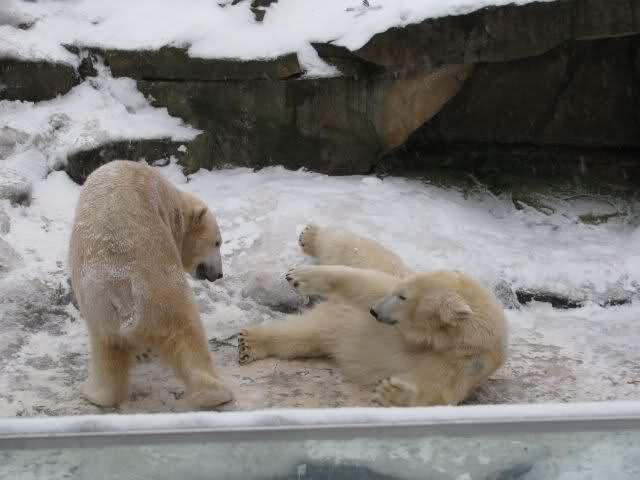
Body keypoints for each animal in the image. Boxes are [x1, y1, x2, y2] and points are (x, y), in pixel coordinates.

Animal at [69, 160, 233, 409]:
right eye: (217, 243)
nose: (219, 274)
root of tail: (122, 294)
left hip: (99, 311)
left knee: (106, 349)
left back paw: (95, 393)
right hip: (160, 291)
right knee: (188, 330)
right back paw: (214, 392)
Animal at [238, 225, 507, 407]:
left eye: (403, 297)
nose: (374, 311)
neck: (446, 343)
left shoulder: (464, 368)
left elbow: (436, 395)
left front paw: (391, 391)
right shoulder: (386, 286)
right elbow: (362, 283)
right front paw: (301, 276)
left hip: (329, 326)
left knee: (301, 334)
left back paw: (250, 343)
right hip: (382, 267)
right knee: (355, 249)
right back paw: (311, 235)